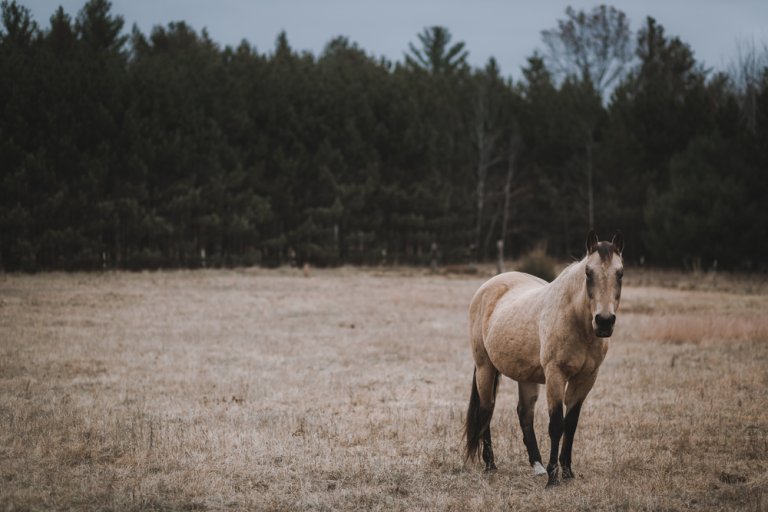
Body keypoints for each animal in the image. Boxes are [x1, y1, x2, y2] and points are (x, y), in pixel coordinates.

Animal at [463, 230, 624, 488]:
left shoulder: (586, 379)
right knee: (486, 410)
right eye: (588, 272)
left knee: (524, 414)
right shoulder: (555, 375)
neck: (578, 323)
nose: (604, 321)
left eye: (620, 273)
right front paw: (553, 478)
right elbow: (556, 425)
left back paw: (536, 465)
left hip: (526, 376)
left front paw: (567, 472)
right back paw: (490, 465)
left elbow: (571, 424)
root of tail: (488, 287)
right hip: (484, 367)